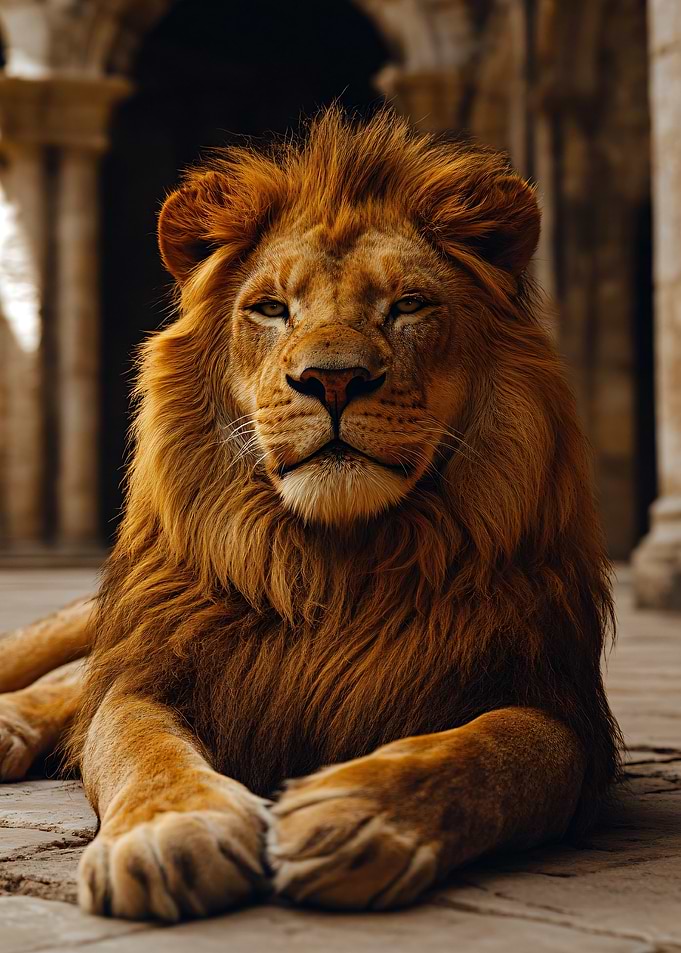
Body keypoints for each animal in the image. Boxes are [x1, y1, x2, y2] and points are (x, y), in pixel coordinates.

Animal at [0, 108, 620, 921]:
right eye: (271, 308)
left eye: (408, 305)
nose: (333, 379)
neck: (332, 561)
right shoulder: (150, 669)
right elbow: (137, 741)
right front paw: (172, 831)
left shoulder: (560, 709)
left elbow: (493, 749)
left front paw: (358, 815)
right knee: (70, 678)